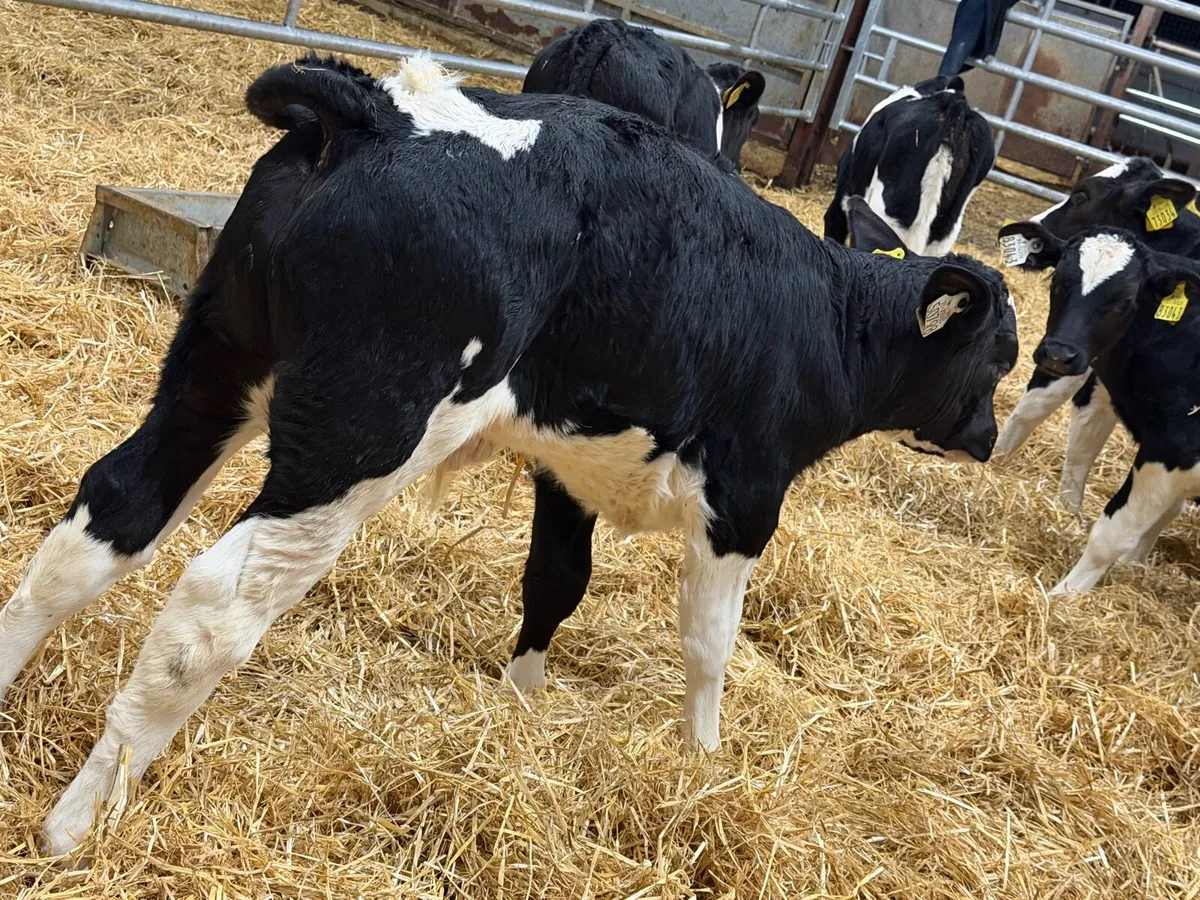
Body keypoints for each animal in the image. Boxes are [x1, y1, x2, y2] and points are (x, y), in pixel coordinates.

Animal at [997, 220, 1200, 593]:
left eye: (1125, 300)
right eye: (1059, 280)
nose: (1059, 354)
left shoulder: (1173, 452)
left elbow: (1120, 530)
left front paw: (1061, 595)